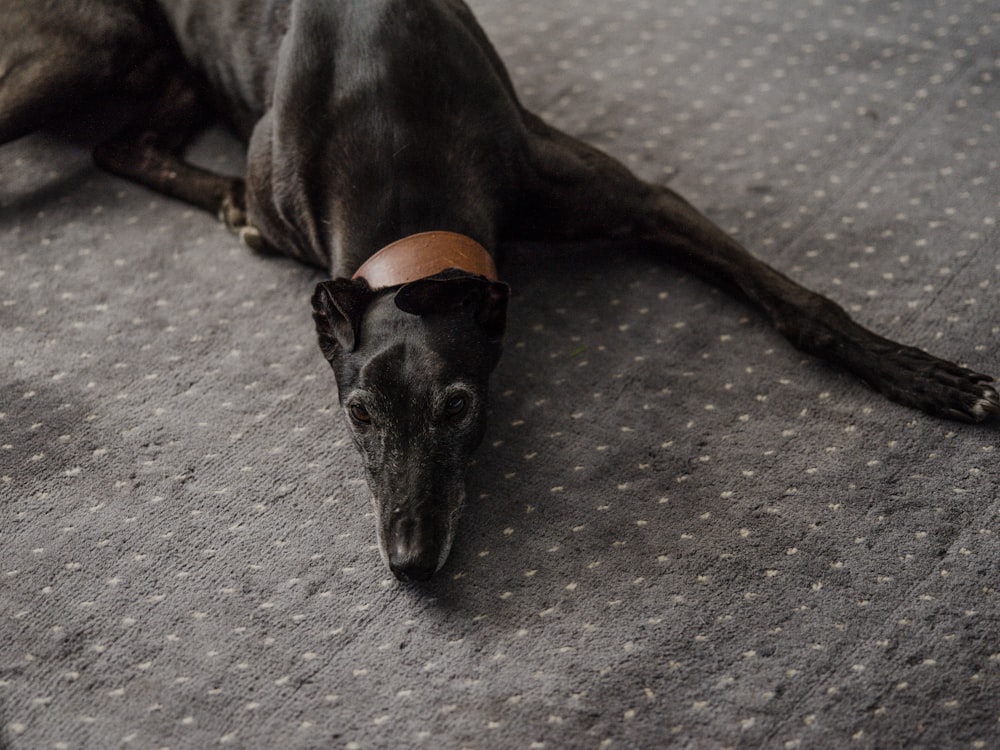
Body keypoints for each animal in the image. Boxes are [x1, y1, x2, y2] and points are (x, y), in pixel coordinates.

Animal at [3, 0, 996, 580]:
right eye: (356, 413)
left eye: (458, 405)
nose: (408, 562)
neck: (393, 132)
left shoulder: (639, 198)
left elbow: (798, 303)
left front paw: (927, 376)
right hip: (84, 46)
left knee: (119, 143)